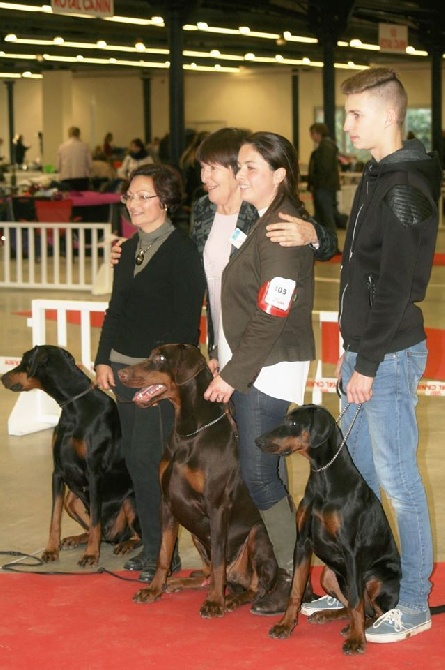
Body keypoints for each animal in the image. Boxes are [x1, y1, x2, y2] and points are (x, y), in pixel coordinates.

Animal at [1, 346, 140, 568]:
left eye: (24, 362)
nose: (2, 377)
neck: (75, 405)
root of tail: (113, 535)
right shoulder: (58, 472)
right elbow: (54, 518)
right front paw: (51, 550)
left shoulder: (94, 474)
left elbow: (95, 520)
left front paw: (91, 555)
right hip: (72, 500)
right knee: (95, 530)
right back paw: (77, 538)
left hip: (130, 500)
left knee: (133, 533)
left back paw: (125, 544)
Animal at [118, 346, 278, 620]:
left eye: (161, 358)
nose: (121, 374)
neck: (189, 435)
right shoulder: (167, 502)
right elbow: (164, 553)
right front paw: (154, 589)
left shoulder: (217, 505)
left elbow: (218, 560)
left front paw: (214, 602)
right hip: (194, 531)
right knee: (207, 574)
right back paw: (177, 583)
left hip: (258, 534)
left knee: (257, 585)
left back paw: (232, 599)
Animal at [255, 404, 400, 656]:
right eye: (285, 419)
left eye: (294, 423)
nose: (258, 441)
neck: (323, 477)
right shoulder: (302, 542)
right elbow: (295, 590)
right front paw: (285, 625)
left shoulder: (351, 551)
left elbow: (356, 601)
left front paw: (356, 640)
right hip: (328, 575)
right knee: (358, 607)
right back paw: (328, 615)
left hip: (377, 578)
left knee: (373, 610)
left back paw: (359, 629)